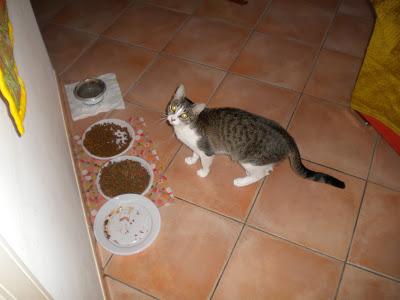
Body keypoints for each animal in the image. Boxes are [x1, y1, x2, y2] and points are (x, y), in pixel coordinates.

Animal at [167, 83, 346, 189]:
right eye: (173, 107)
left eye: (184, 115)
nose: (172, 119)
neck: (186, 129)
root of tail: (288, 137)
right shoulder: (196, 146)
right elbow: (194, 152)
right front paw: (192, 159)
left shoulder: (207, 150)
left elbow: (205, 162)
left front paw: (203, 172)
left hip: (249, 159)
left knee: (262, 174)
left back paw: (241, 181)